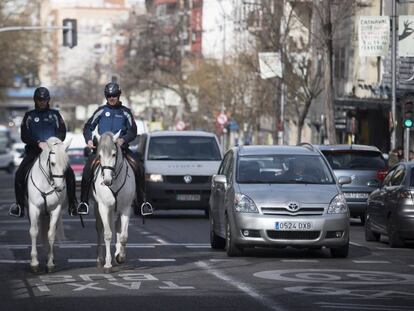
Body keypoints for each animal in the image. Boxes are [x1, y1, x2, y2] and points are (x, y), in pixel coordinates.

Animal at [27, 137, 71, 272]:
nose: (60, 188)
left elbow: (51, 234)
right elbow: (34, 231)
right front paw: (34, 263)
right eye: (52, 163)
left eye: (66, 165)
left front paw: (50, 262)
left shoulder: (55, 209)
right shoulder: (34, 208)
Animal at [93, 132, 135, 272]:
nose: (106, 181)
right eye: (99, 155)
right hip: (98, 208)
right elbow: (107, 234)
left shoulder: (126, 208)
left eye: (114, 154)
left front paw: (120, 256)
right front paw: (107, 264)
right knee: (100, 228)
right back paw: (100, 259)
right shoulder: (104, 207)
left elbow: (123, 235)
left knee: (116, 227)